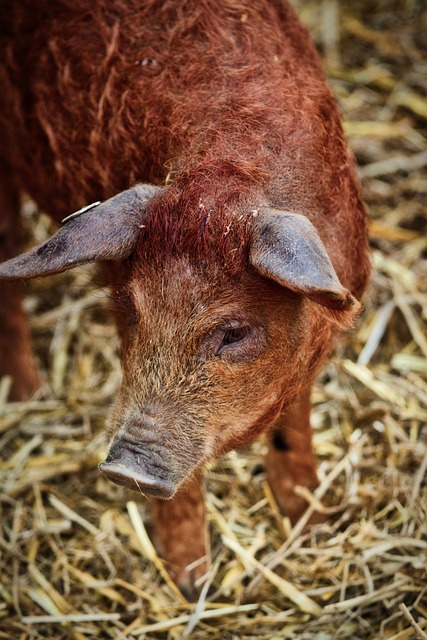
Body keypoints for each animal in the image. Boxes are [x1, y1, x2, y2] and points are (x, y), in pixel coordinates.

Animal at [0, 0, 372, 596]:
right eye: (131, 310)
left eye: (234, 332)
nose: (124, 467)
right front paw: (192, 585)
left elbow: (295, 423)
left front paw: (312, 526)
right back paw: (29, 396)